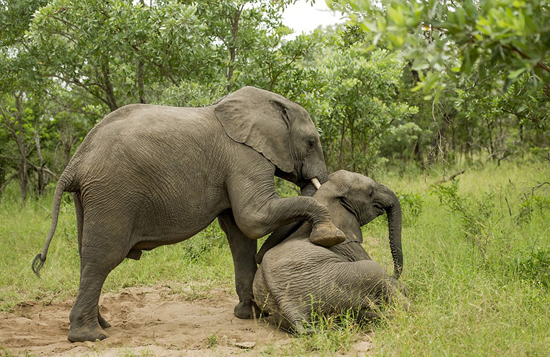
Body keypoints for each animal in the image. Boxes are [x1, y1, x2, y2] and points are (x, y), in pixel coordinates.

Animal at [31, 86, 344, 342]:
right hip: (112, 192)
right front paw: (330, 236)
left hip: (89, 198)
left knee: (87, 257)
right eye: (312, 142)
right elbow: (253, 219)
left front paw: (250, 316)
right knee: (103, 258)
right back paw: (90, 337)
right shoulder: (244, 157)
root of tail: (76, 162)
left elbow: (240, 236)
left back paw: (102, 325)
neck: (269, 105)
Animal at [254, 170, 410, 330]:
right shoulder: (349, 245)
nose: (394, 272)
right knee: (376, 272)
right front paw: (405, 287)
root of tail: (291, 310)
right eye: (370, 192)